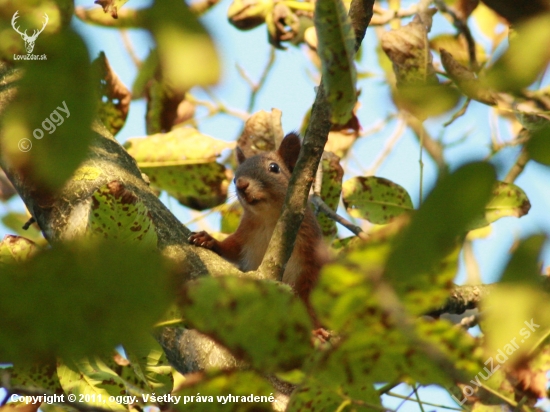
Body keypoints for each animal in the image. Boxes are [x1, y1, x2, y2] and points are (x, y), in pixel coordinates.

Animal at [190, 134, 328, 310]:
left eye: (274, 168)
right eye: (234, 179)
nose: (241, 184)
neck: (270, 220)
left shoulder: (311, 248)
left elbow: (310, 287)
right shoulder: (244, 235)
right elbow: (231, 248)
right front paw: (208, 240)